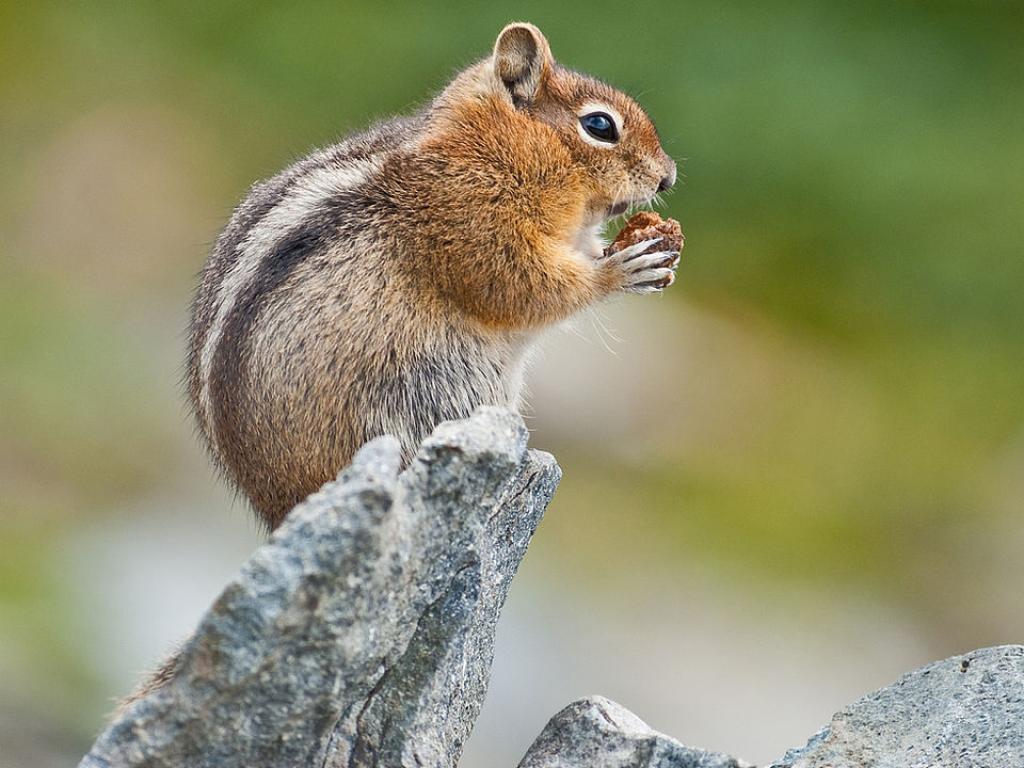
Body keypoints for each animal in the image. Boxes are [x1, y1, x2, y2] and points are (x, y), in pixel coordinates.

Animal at [186, 22, 679, 528]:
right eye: (600, 125)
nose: (668, 177)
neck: (496, 145)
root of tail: (278, 509)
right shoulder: (474, 221)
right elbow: (523, 288)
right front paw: (622, 269)